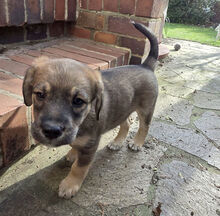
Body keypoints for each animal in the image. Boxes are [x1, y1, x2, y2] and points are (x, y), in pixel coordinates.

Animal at [22, 22, 159, 199]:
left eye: (78, 101)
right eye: (39, 94)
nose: (51, 131)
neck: (83, 120)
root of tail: (146, 66)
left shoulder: (90, 145)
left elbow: (79, 168)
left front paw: (70, 185)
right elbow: (75, 145)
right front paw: (73, 153)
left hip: (146, 109)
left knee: (144, 127)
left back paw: (137, 143)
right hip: (123, 108)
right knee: (127, 123)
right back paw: (117, 142)